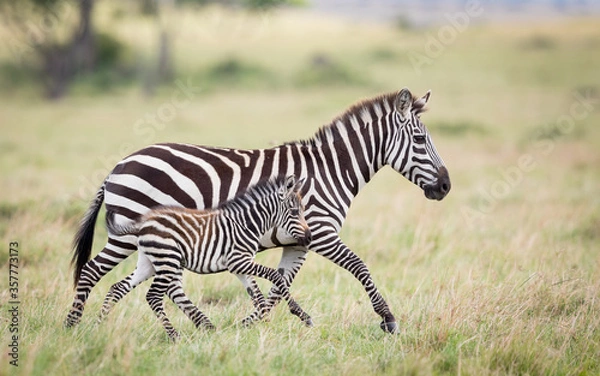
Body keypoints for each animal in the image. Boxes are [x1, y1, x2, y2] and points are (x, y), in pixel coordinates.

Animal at [99, 176, 310, 340]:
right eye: (294, 212)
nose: (309, 238)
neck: (247, 225)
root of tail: (143, 223)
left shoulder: (239, 267)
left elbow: (256, 294)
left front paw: (261, 323)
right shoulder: (238, 260)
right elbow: (275, 275)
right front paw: (300, 314)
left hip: (148, 263)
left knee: (118, 288)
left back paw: (100, 325)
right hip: (168, 260)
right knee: (153, 296)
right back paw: (174, 336)